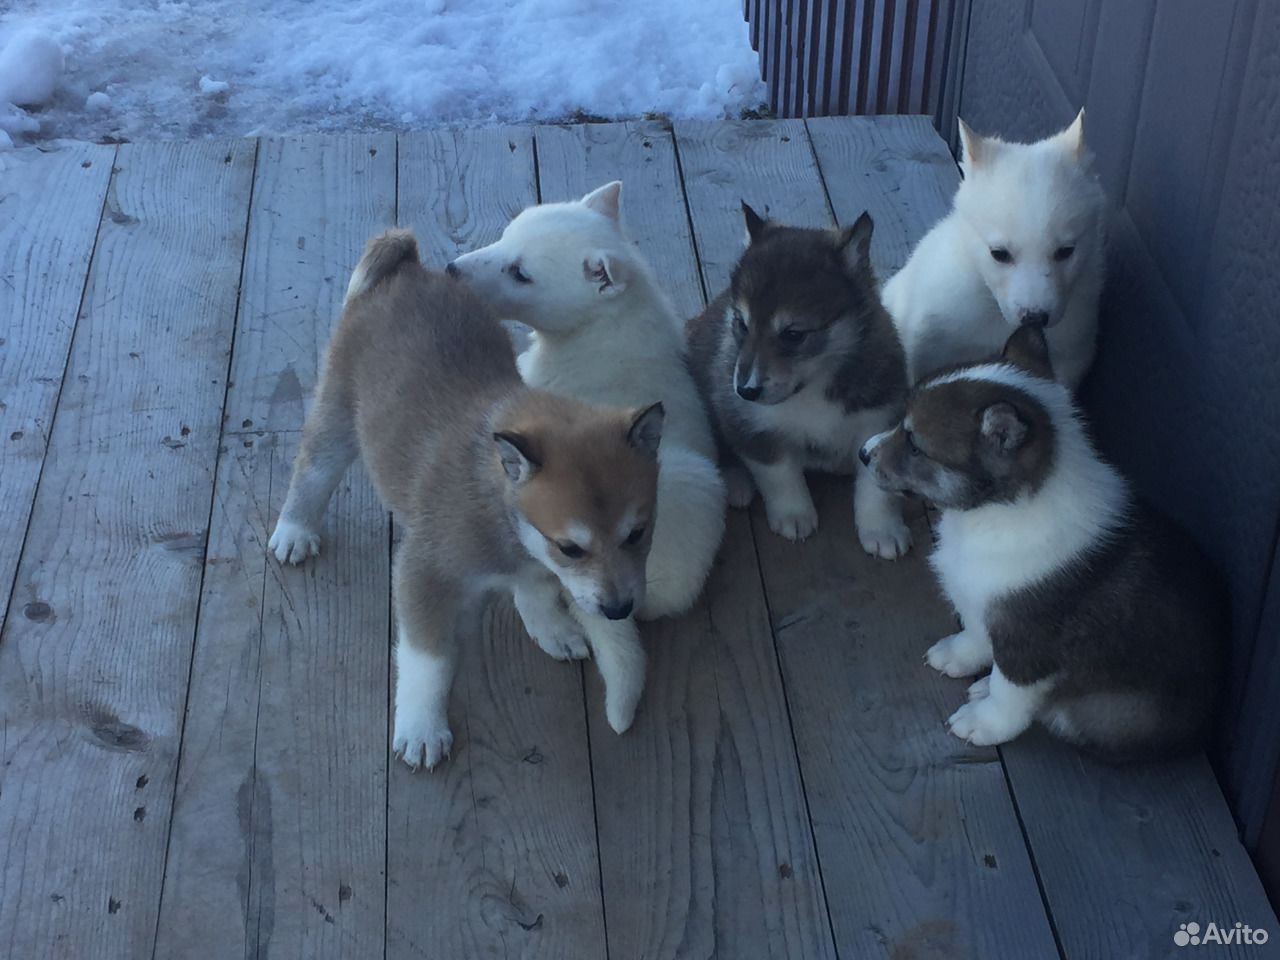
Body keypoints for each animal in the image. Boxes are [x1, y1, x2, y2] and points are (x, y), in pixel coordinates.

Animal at [272, 229, 670, 773]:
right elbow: (429, 661)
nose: (618, 609)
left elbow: (534, 593)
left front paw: (552, 629)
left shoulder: (532, 565)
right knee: (311, 472)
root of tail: (408, 269)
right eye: (572, 547)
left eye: (638, 533)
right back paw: (294, 532)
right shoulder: (424, 576)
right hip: (336, 414)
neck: (499, 507)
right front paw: (422, 729)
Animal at [691, 207, 911, 560]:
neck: (812, 388)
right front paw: (794, 515)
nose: (745, 391)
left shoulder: (879, 421)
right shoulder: (750, 425)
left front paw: (883, 530)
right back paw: (735, 482)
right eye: (741, 324)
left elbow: (876, 488)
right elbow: (779, 473)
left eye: (793, 334)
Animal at [855, 327, 1223, 762]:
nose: (862, 453)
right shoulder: (980, 601)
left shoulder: (1026, 642)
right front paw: (957, 656)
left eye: (915, 445)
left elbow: (1009, 693)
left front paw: (983, 724)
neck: (986, 516)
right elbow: (975, 634)